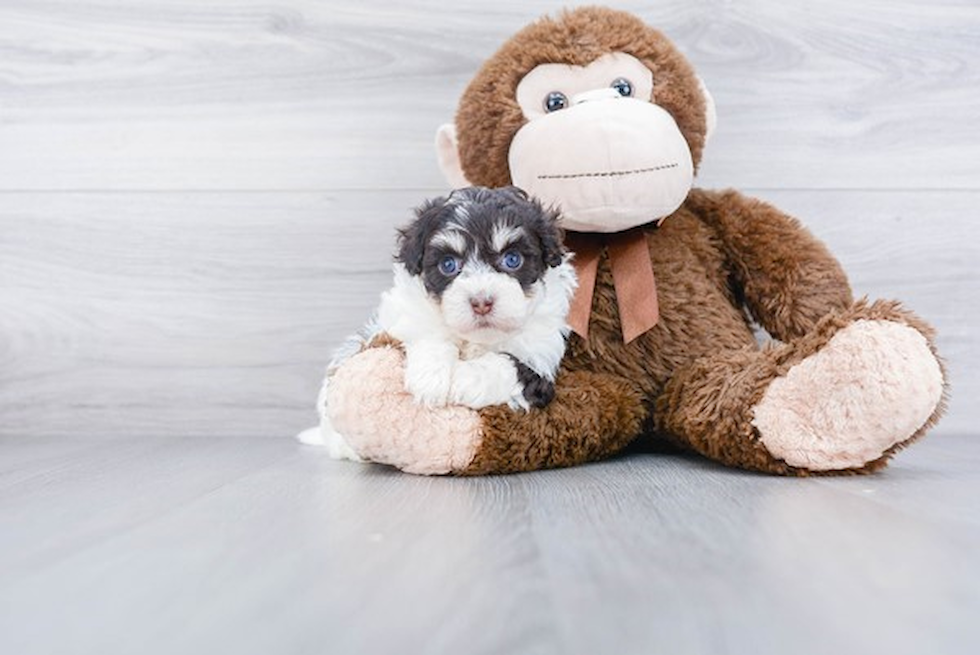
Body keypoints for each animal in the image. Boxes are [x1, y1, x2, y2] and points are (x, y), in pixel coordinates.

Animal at [294, 187, 580, 458]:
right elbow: (427, 332)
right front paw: (429, 379)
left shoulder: (540, 356)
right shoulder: (403, 313)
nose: (481, 302)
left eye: (512, 259)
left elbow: (504, 365)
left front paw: (460, 381)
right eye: (448, 264)